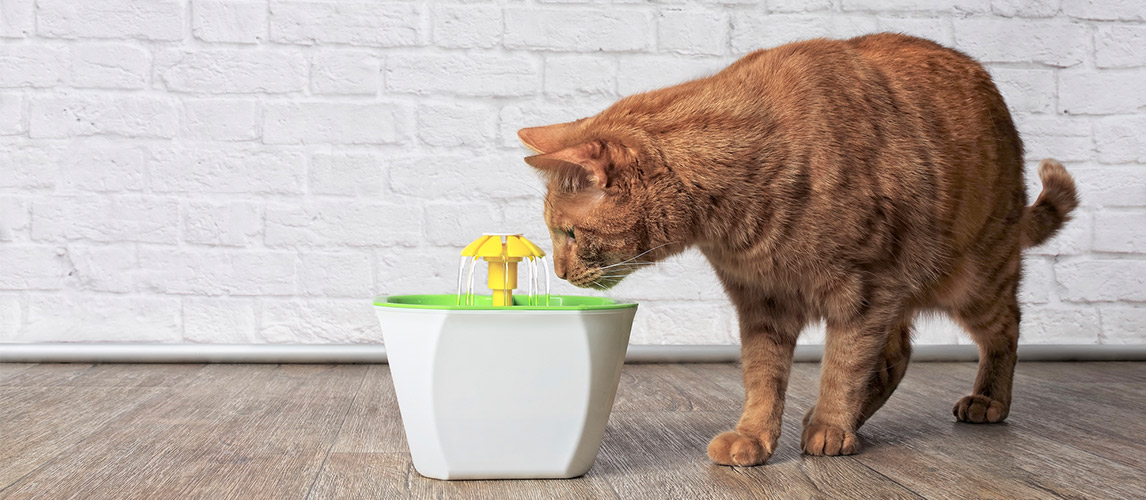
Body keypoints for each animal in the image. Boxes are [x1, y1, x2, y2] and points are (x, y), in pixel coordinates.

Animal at [517, 34, 1072, 465]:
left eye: (568, 235)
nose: (560, 273)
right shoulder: (764, 302)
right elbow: (764, 378)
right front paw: (756, 437)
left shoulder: (865, 290)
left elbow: (843, 365)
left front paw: (830, 424)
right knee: (898, 354)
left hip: (973, 278)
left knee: (1005, 328)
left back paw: (984, 400)